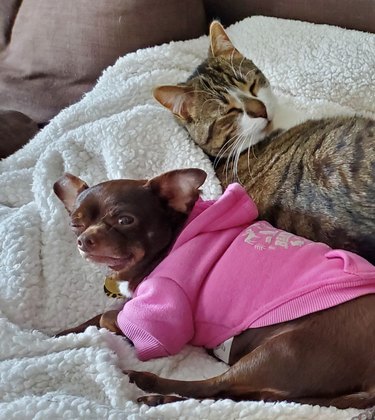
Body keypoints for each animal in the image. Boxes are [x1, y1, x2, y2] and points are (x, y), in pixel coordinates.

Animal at [53, 169, 375, 408]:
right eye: (75, 224)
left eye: (125, 220)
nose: (84, 240)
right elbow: (97, 316)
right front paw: (61, 333)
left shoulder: (159, 323)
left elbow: (109, 316)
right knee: (241, 395)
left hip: (282, 349)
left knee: (214, 387)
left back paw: (153, 388)